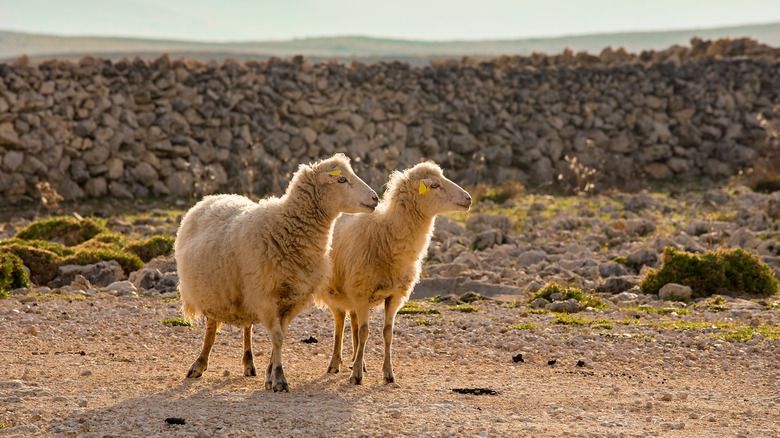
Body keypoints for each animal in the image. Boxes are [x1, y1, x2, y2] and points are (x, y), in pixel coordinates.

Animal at [175, 153, 378, 392]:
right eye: (342, 180)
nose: (375, 198)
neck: (286, 226)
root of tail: (213, 197)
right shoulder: (266, 297)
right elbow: (278, 337)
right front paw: (279, 378)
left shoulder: (292, 299)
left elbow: (278, 335)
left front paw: (270, 375)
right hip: (212, 292)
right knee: (211, 329)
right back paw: (199, 364)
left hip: (242, 293)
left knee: (246, 326)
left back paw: (249, 363)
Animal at [315, 161, 472, 384]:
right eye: (434, 185)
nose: (468, 198)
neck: (385, 234)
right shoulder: (362, 292)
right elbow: (365, 332)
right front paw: (356, 375)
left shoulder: (394, 295)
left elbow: (387, 333)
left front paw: (388, 373)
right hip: (336, 291)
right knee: (340, 323)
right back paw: (335, 363)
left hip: (352, 290)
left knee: (353, 321)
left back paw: (357, 361)